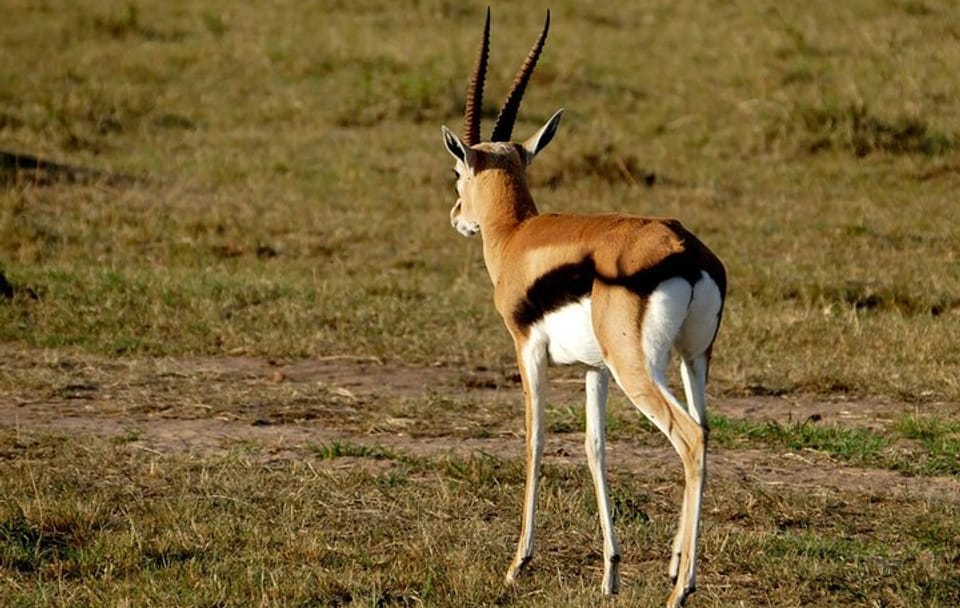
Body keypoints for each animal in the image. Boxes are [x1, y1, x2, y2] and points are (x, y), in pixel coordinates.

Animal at [439, 9, 726, 608]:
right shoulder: (595, 369)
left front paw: (517, 564)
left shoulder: (528, 350)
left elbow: (535, 438)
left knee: (689, 438)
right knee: (707, 430)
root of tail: (685, 250)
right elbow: (596, 447)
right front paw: (610, 573)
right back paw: (674, 566)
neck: (518, 237)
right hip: (692, 360)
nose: (457, 216)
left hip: (641, 369)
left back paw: (681, 589)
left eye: (457, 172)